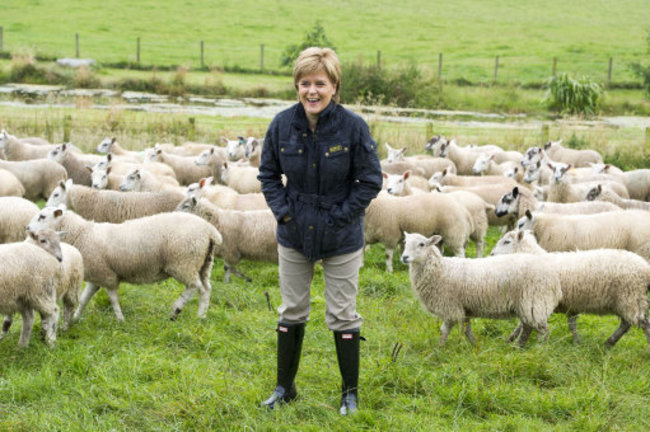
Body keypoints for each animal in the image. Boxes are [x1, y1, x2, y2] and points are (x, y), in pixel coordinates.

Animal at [27, 206, 223, 320]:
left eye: (42, 216)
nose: (27, 228)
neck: (83, 234)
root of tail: (210, 231)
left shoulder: (107, 276)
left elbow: (113, 298)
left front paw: (120, 319)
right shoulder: (96, 276)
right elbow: (83, 299)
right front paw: (75, 318)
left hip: (183, 262)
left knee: (194, 287)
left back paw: (176, 309)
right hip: (204, 264)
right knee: (206, 289)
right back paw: (201, 317)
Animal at [398, 233, 560, 348]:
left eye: (422, 244)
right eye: (405, 243)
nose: (404, 257)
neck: (440, 269)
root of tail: (553, 277)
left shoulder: (450, 306)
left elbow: (444, 330)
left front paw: (440, 348)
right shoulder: (465, 308)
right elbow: (466, 329)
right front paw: (474, 345)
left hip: (534, 300)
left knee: (542, 329)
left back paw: (539, 349)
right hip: (528, 304)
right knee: (528, 327)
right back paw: (518, 347)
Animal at [488, 230, 648, 348]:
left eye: (507, 242)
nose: (491, 254)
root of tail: (645, 267)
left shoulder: (535, 298)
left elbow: (523, 322)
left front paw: (512, 338)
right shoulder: (569, 304)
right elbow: (572, 325)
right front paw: (577, 343)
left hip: (630, 297)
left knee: (642, 323)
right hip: (628, 300)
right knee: (626, 324)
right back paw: (609, 343)